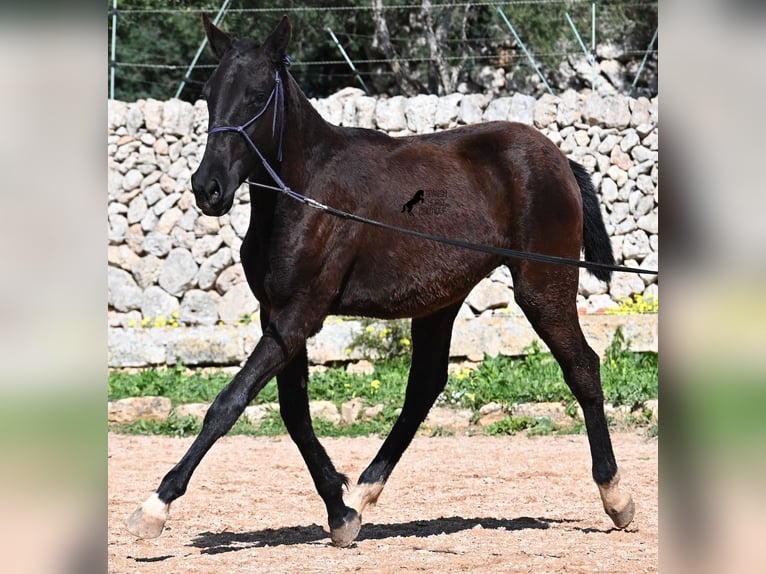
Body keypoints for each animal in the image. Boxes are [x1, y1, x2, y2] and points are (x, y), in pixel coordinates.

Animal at [129, 15, 636, 548]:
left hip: (542, 286)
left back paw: (616, 497)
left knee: (582, 367)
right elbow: (293, 412)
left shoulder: (300, 314)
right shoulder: (279, 316)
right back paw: (366, 490)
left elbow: (229, 402)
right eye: (208, 93)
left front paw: (155, 506)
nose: (208, 188)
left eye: (257, 94)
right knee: (424, 387)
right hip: (441, 301)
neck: (305, 196)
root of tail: (560, 161)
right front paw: (339, 509)